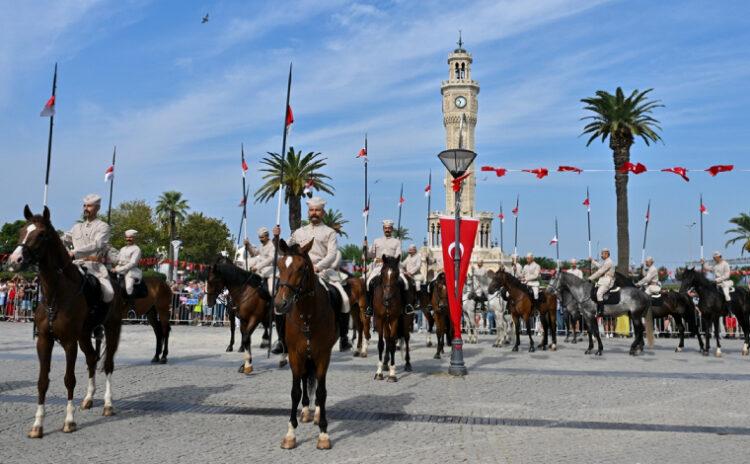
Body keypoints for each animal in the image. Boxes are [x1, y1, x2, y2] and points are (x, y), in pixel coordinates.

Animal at [7, 207, 122, 438]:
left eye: (41, 234)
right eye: (23, 230)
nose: (15, 260)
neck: (56, 295)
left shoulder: (69, 342)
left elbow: (69, 379)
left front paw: (69, 421)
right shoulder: (44, 340)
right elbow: (42, 382)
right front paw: (38, 425)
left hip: (112, 329)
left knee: (107, 365)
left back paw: (107, 404)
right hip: (84, 335)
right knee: (92, 359)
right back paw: (88, 399)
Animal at [274, 239, 336, 450]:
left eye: (302, 268)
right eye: (279, 265)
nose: (280, 304)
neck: (307, 316)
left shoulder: (323, 355)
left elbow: (322, 392)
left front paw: (324, 433)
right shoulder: (295, 355)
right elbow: (295, 391)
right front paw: (290, 434)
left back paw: (315, 414)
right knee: (304, 379)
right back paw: (306, 411)